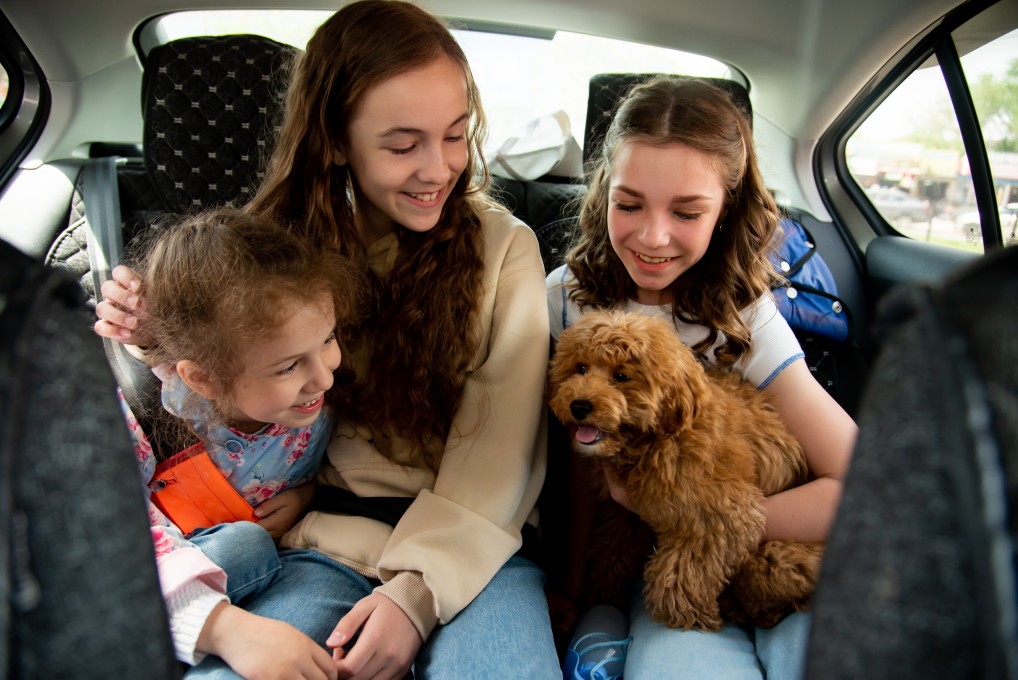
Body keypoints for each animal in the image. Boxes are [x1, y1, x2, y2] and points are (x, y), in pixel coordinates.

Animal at [549, 311, 818, 631]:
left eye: (621, 376)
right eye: (580, 368)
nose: (579, 406)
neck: (656, 438)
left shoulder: (722, 514)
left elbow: (683, 571)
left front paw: (688, 614)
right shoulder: (624, 514)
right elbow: (612, 551)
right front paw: (604, 591)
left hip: (774, 558)